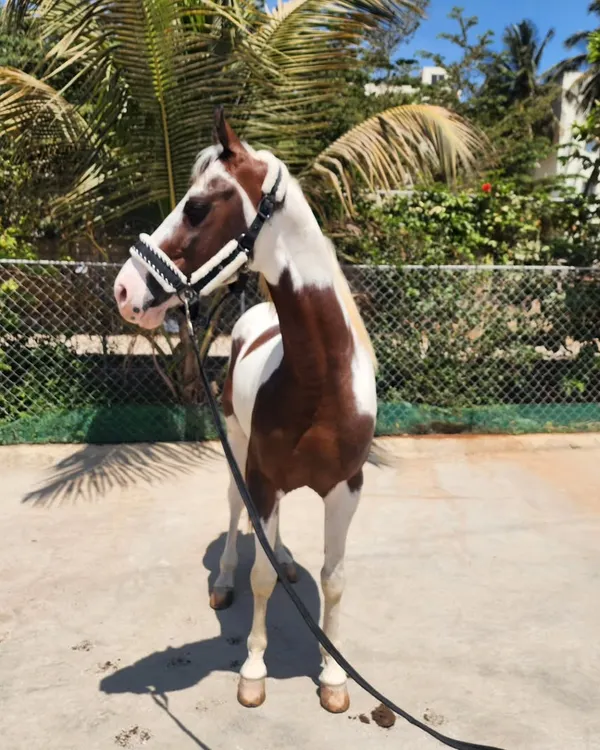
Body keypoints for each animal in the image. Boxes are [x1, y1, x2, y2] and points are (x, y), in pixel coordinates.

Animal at [113, 107, 378, 715]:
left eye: (196, 207)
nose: (124, 290)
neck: (320, 385)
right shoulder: (261, 476)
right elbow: (259, 579)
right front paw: (254, 670)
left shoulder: (346, 489)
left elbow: (335, 579)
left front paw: (333, 673)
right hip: (238, 450)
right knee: (237, 515)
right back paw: (224, 580)